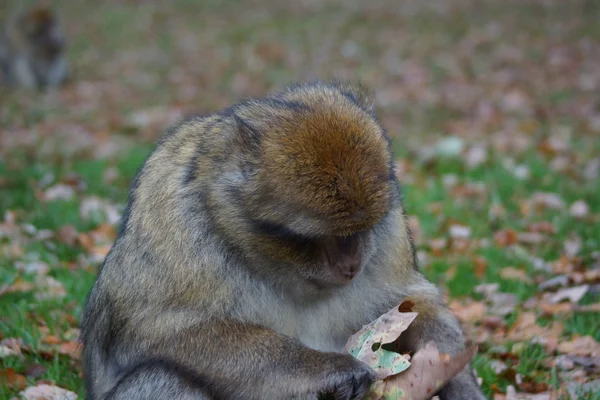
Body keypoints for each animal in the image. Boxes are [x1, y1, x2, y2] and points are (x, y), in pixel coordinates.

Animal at [81, 81, 482, 400]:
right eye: (324, 237)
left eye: (361, 231)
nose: (351, 265)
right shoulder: (175, 225)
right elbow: (163, 331)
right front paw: (329, 368)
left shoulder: (391, 230)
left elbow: (412, 302)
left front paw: (456, 376)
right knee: (166, 375)